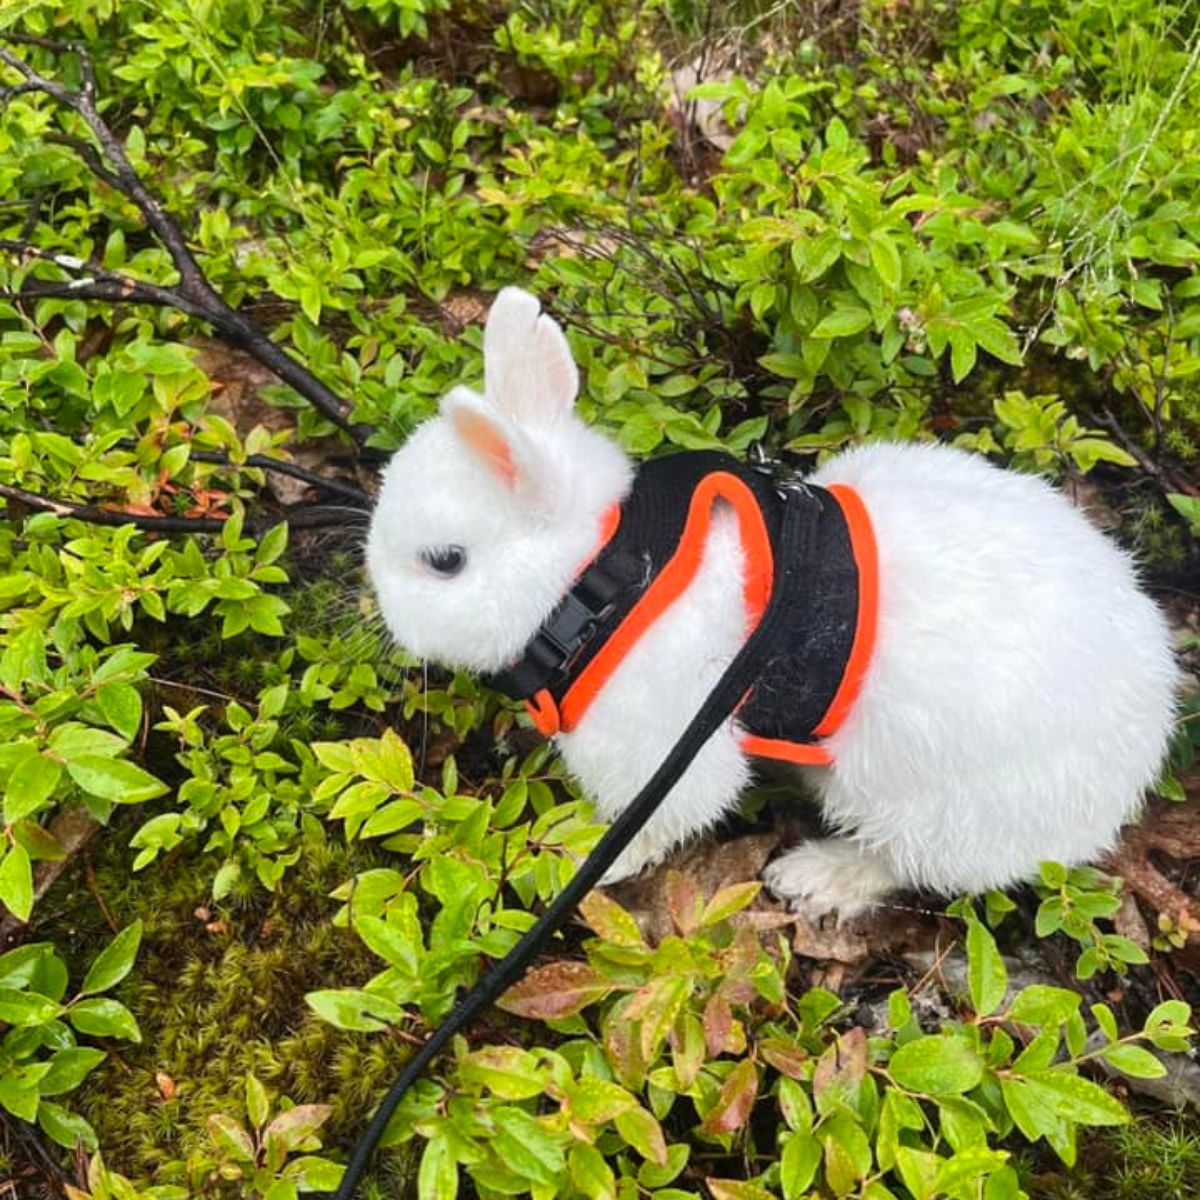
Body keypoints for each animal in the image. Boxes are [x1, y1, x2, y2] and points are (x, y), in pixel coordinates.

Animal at [364, 283, 1171, 916]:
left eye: (445, 563)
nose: (381, 616)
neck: (606, 575)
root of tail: (1142, 751)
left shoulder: (664, 753)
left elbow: (659, 821)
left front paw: (591, 855)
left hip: (924, 805)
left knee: (903, 863)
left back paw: (814, 877)